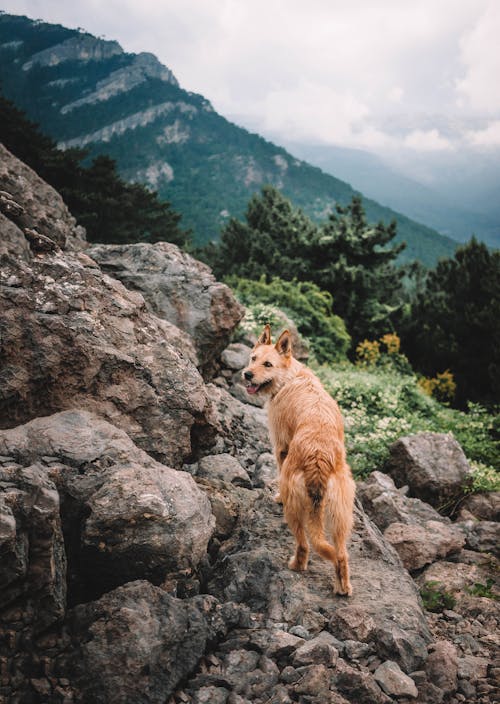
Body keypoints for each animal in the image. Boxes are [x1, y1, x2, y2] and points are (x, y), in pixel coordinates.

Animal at [243, 324, 356, 592]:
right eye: (253, 358)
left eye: (268, 364)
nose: (247, 375)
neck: (289, 378)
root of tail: (319, 459)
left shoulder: (281, 446)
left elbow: (277, 466)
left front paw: (276, 496)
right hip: (341, 513)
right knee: (341, 553)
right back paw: (343, 587)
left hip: (294, 505)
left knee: (304, 544)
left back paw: (297, 564)